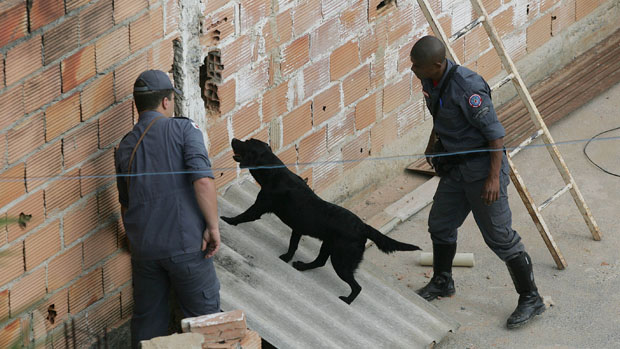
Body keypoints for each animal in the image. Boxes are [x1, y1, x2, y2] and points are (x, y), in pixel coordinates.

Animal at [223, 137, 422, 304]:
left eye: (246, 143)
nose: (233, 138)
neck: (275, 173)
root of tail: (363, 227)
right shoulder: (297, 229)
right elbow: (293, 246)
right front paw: (287, 258)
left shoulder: (259, 207)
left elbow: (243, 215)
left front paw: (227, 220)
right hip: (329, 246)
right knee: (319, 262)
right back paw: (303, 266)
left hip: (341, 259)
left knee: (357, 286)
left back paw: (347, 300)